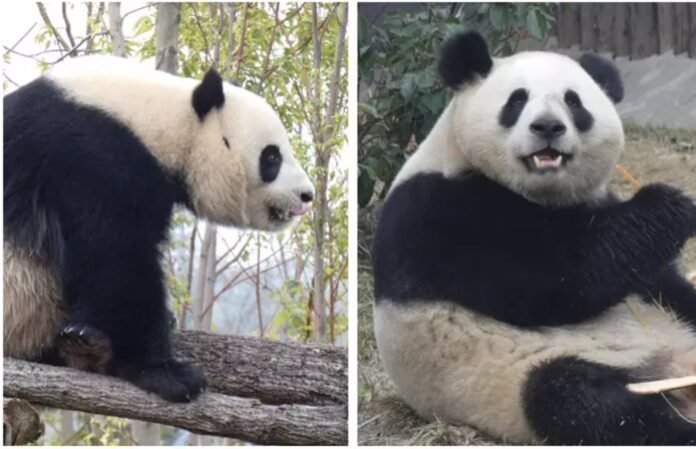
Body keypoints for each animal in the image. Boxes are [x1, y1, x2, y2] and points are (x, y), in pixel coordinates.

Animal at [372, 31, 696, 444]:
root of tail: (675, 367)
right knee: (577, 398)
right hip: (516, 375)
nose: (547, 127)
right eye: (517, 100)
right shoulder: (438, 215)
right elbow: (555, 284)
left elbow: (652, 276)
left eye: (574, 101)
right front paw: (670, 205)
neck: (539, 195)